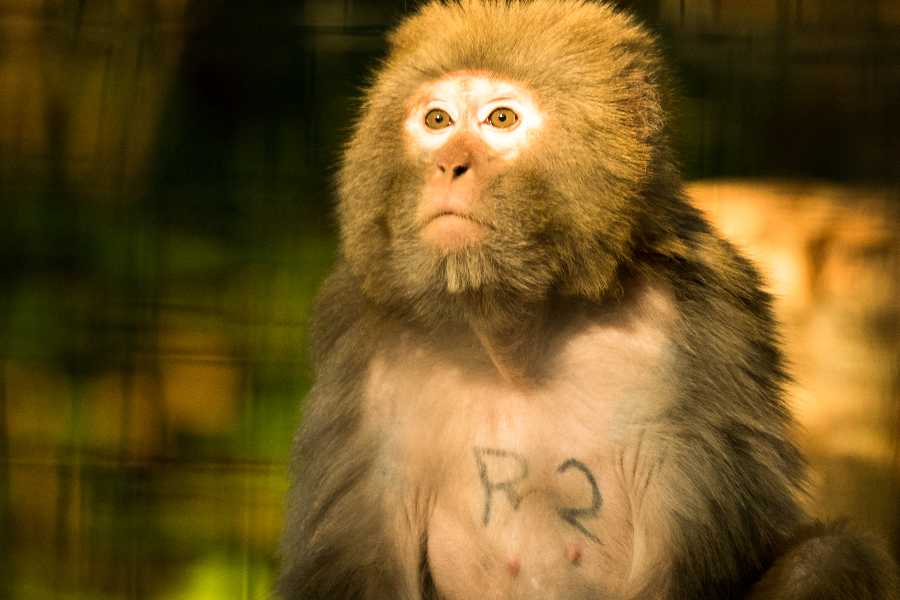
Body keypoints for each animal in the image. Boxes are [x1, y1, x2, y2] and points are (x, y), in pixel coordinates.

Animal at [278, 0, 896, 596]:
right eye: (437, 121)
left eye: (501, 119)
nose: (448, 165)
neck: (513, 342)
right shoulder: (361, 342)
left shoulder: (705, 324)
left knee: (830, 557)